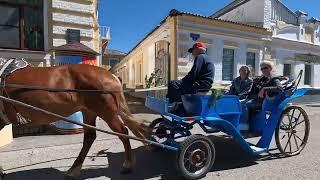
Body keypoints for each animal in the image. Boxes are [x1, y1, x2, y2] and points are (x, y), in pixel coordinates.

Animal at [0, 64, 147, 178]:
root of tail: (111, 76)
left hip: (106, 113)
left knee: (123, 132)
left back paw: (127, 164)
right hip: (89, 112)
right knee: (89, 137)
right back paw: (74, 169)